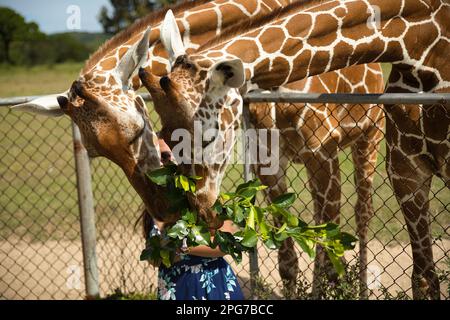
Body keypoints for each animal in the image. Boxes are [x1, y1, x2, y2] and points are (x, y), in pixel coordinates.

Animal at [155, 0, 450, 300]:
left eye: (208, 137)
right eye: (165, 137)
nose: (203, 212)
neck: (418, 47)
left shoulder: (325, 154)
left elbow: (331, 252)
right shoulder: (269, 162)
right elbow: (289, 261)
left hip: (371, 137)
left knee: (361, 211)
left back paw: (363, 287)